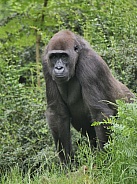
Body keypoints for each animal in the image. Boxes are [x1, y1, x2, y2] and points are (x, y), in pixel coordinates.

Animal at [42, 30, 135, 164]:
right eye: (54, 57)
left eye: (64, 56)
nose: (58, 68)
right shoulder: (46, 64)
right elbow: (57, 114)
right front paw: (67, 162)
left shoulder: (89, 63)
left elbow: (99, 112)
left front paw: (105, 159)